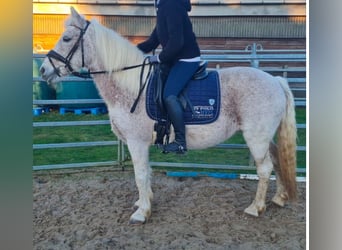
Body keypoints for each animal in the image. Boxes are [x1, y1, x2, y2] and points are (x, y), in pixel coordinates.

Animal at [39, 7, 296, 225]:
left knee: (264, 168)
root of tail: (275, 80)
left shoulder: (136, 142)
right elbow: (147, 173)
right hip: (265, 137)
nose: (43, 70)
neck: (131, 86)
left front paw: (142, 213)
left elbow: (140, 174)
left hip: (256, 137)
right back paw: (280, 197)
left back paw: (256, 207)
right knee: (276, 160)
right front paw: (144, 202)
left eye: (67, 39)